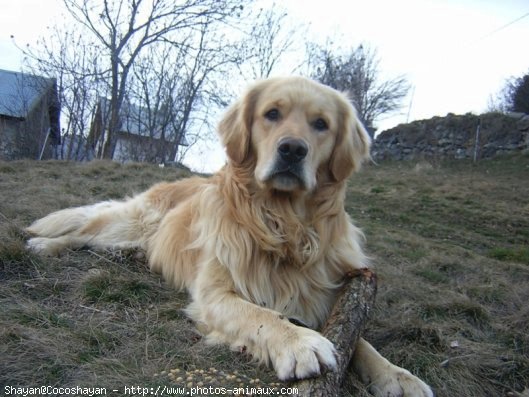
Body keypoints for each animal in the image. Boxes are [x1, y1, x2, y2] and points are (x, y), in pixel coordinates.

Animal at [26, 76, 434, 394]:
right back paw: (44, 243)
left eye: (321, 124)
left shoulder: (323, 293)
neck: (282, 223)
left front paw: (397, 375)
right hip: (131, 222)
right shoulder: (214, 292)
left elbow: (360, 341)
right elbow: (261, 315)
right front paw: (299, 342)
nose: (292, 149)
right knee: (83, 231)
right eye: (272, 114)